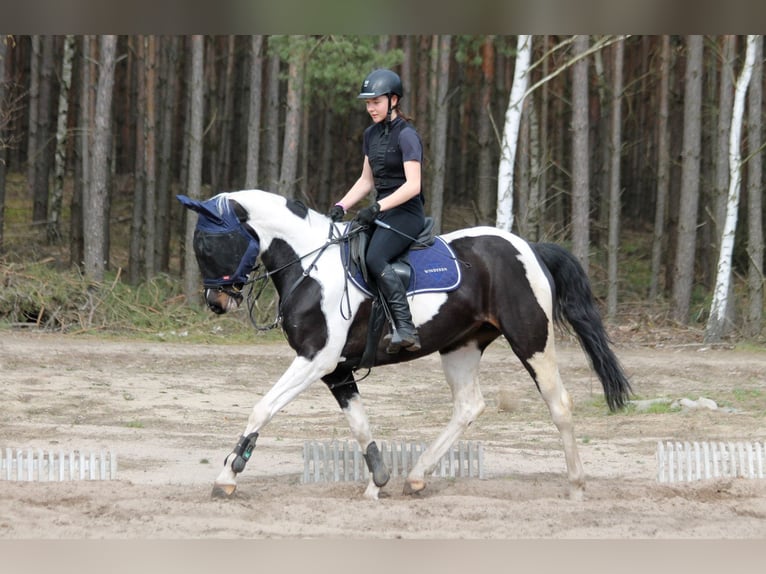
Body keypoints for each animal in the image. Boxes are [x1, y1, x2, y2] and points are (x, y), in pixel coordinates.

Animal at [180, 191, 636, 502]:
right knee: (468, 406)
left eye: (208, 245)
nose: (216, 303)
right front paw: (377, 481)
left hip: (531, 339)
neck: (311, 266)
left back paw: (576, 486)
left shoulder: (315, 359)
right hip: (461, 346)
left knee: (559, 403)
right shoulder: (335, 369)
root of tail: (529, 247)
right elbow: (360, 424)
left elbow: (262, 407)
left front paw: (228, 476)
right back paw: (416, 476)